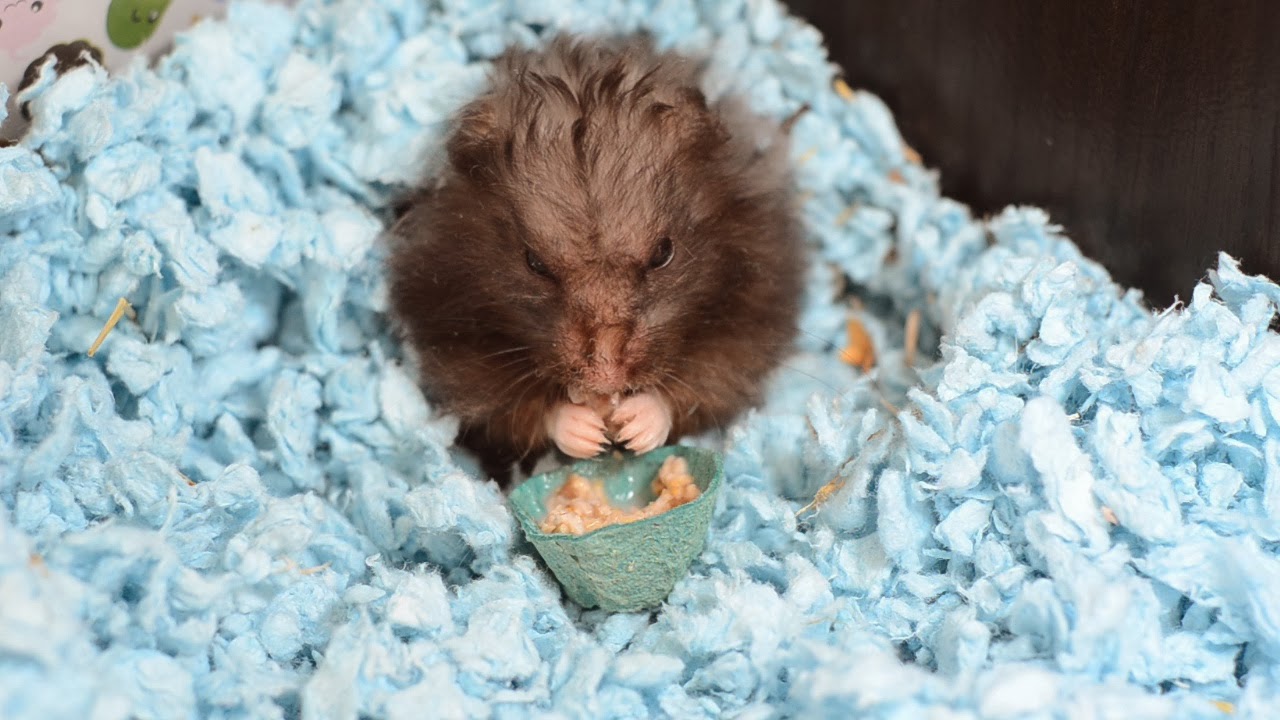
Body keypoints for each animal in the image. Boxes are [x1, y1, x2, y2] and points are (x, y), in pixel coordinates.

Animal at [386, 34, 806, 485]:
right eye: (534, 264)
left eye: (663, 253)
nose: (605, 381)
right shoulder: (448, 340)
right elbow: (506, 403)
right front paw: (586, 431)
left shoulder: (753, 311)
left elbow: (705, 381)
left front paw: (636, 424)